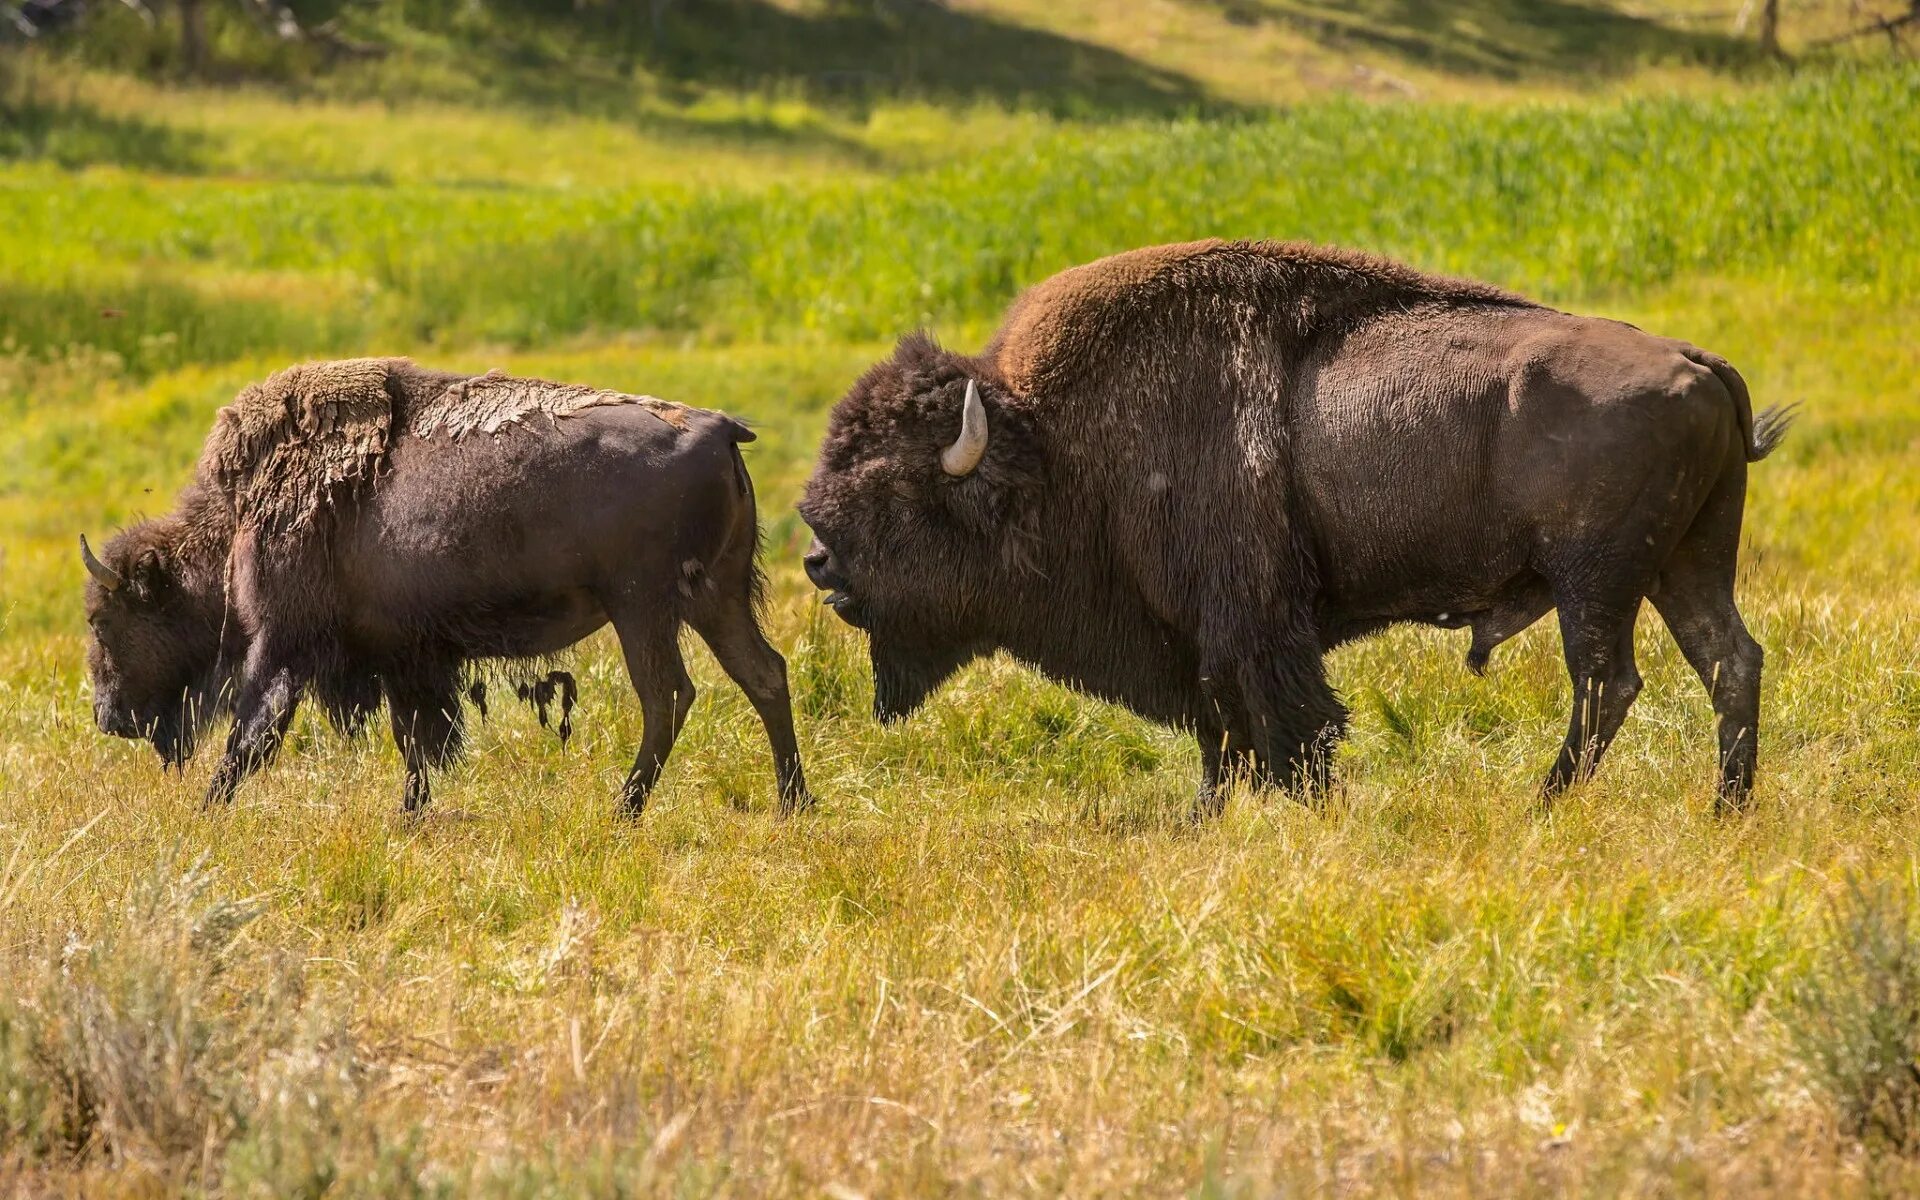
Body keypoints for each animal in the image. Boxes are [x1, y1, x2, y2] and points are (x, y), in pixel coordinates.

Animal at [82, 355, 810, 814]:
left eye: (104, 620)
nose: (107, 715)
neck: (241, 511)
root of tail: (717, 427)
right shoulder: (406, 655)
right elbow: (418, 741)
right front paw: (410, 814)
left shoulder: (281, 643)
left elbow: (251, 736)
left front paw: (205, 813)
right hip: (714, 598)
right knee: (762, 673)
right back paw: (794, 802)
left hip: (643, 606)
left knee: (667, 694)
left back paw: (625, 810)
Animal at [802, 239, 1789, 810]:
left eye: (896, 490)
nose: (817, 560)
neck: (1048, 440)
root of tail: (1697, 362)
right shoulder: (1200, 636)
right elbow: (1222, 736)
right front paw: (1210, 815)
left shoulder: (1249, 625)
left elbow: (1284, 725)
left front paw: (1301, 804)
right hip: (1685, 565)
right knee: (1728, 661)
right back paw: (1725, 808)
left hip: (1596, 582)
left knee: (1607, 683)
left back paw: (1542, 804)